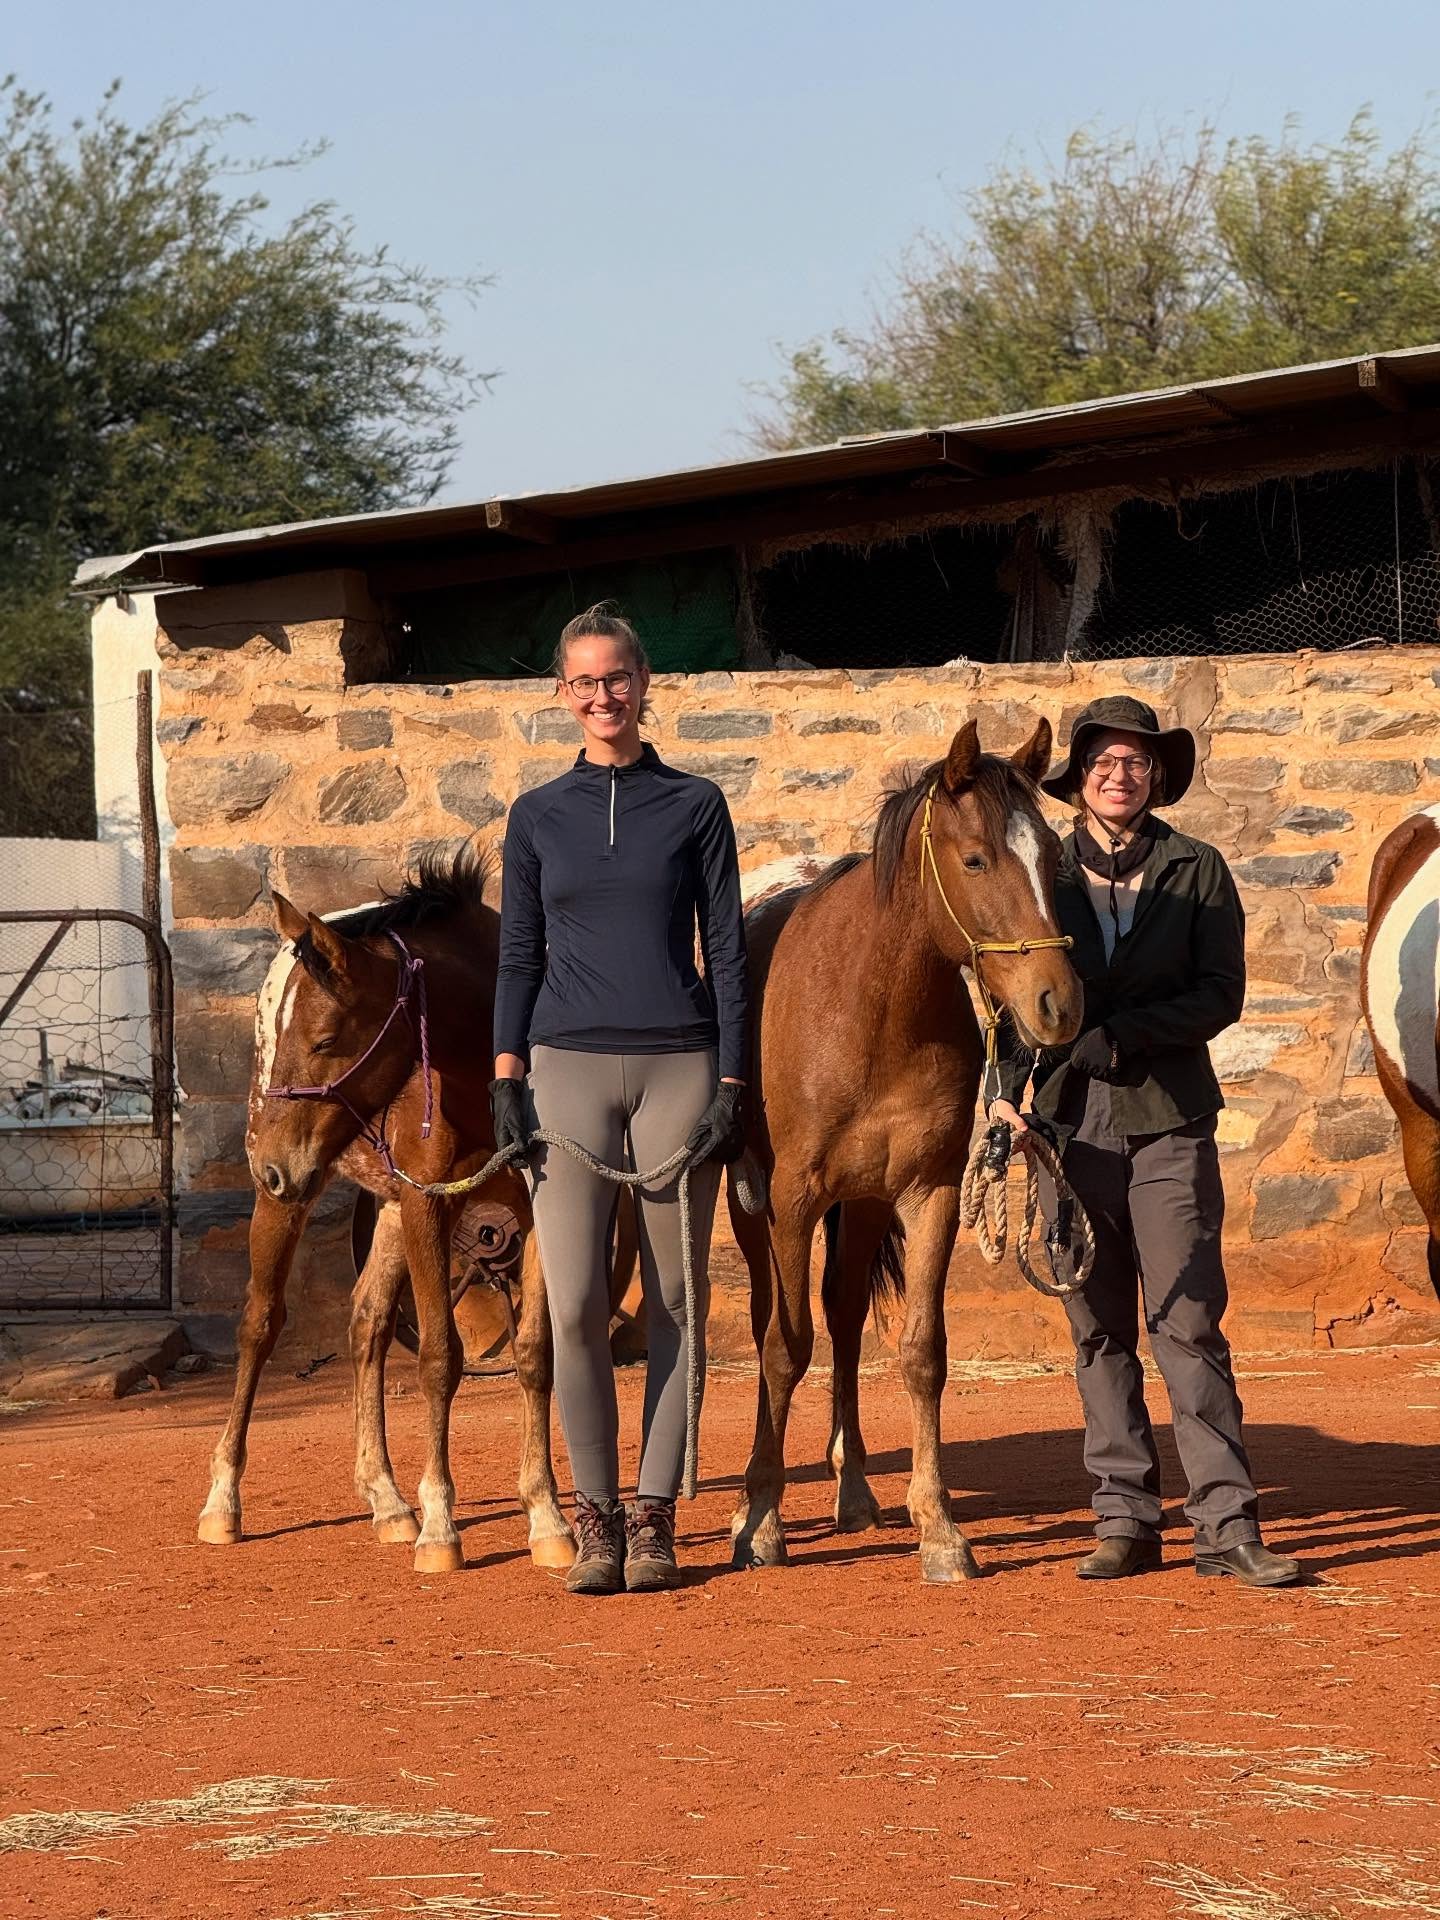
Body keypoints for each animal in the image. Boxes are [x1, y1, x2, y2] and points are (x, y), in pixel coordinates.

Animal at [196, 846, 580, 1574]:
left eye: (324, 1039)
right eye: (296, 1038)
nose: (271, 1164)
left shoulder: (531, 1209)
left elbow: (534, 1353)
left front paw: (546, 1517)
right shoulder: (430, 1204)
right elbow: (439, 1357)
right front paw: (441, 1528)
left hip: (386, 1206)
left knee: (367, 1323)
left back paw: (386, 1499)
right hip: (301, 1200)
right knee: (259, 1324)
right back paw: (223, 1502)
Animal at [727, 717, 1083, 1582]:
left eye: (1054, 858)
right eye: (977, 858)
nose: (1058, 1004)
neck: (871, 1008)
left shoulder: (929, 1194)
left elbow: (921, 1351)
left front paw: (940, 1528)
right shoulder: (789, 1201)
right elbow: (783, 1346)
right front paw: (762, 1520)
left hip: (860, 1205)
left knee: (846, 1315)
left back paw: (853, 1487)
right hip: (751, 1207)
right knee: (769, 1320)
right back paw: (748, 1500)